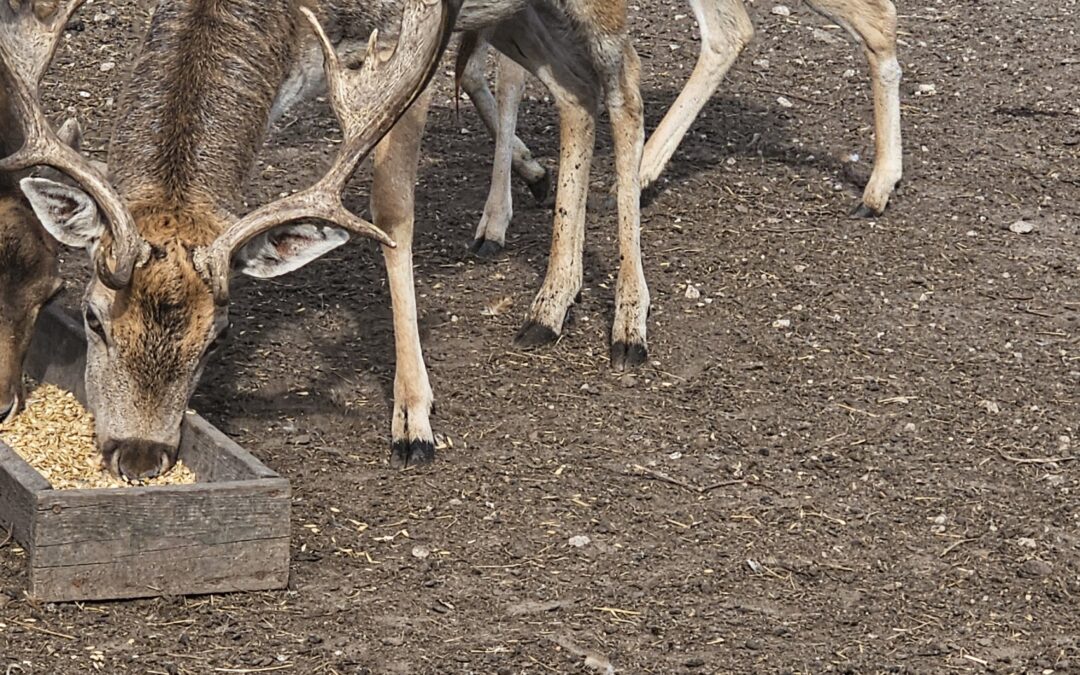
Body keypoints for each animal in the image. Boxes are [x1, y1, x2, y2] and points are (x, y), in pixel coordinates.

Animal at [6, 0, 648, 473]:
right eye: (92, 317)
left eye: (218, 337)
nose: (139, 456)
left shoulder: (401, 54)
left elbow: (392, 213)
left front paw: (413, 420)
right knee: (574, 92)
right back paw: (550, 302)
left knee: (626, 89)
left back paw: (628, 324)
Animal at [455, 0, 902, 257]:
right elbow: (471, 71)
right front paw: (529, 176)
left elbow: (506, 80)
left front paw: (494, 224)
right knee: (731, 30)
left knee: (879, 17)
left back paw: (877, 189)